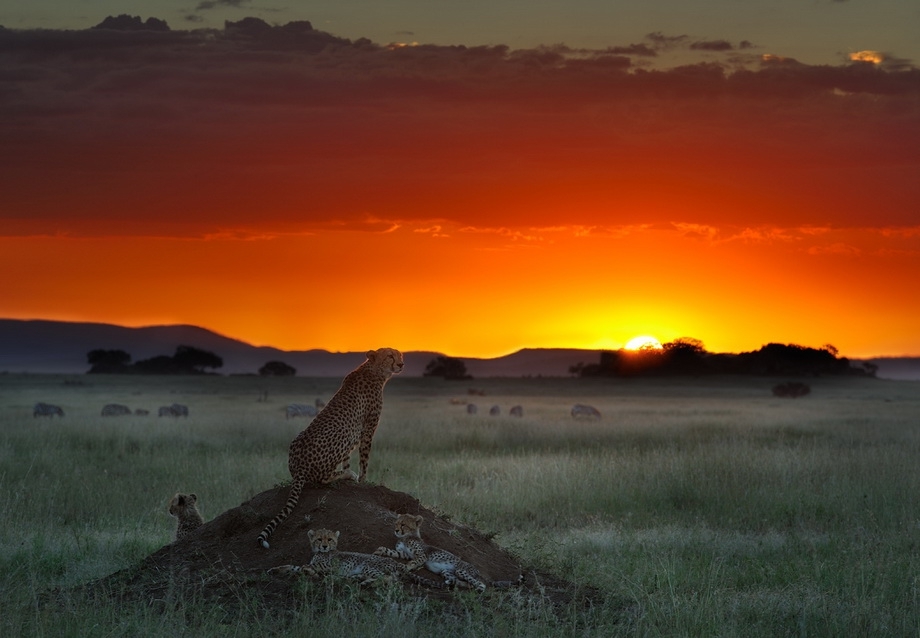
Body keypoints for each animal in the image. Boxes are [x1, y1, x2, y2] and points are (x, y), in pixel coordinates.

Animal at [256, 350, 404, 552]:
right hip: (341, 432)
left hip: (301, 438)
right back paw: (347, 475)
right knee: (322, 478)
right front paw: (363, 480)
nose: (401, 364)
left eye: (400, 355)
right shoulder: (367, 430)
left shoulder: (356, 434)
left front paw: (351, 475)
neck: (373, 371)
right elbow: (364, 459)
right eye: (390, 355)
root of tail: (299, 468)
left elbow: (348, 459)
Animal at [268, 528, 408, 588]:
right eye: (319, 539)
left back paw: (369, 583)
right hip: (362, 571)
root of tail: (394, 561)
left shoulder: (328, 566)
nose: (324, 546)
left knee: (391, 579)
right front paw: (274, 570)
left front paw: (311, 573)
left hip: (368, 567)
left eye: (330, 539)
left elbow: (304, 567)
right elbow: (292, 567)